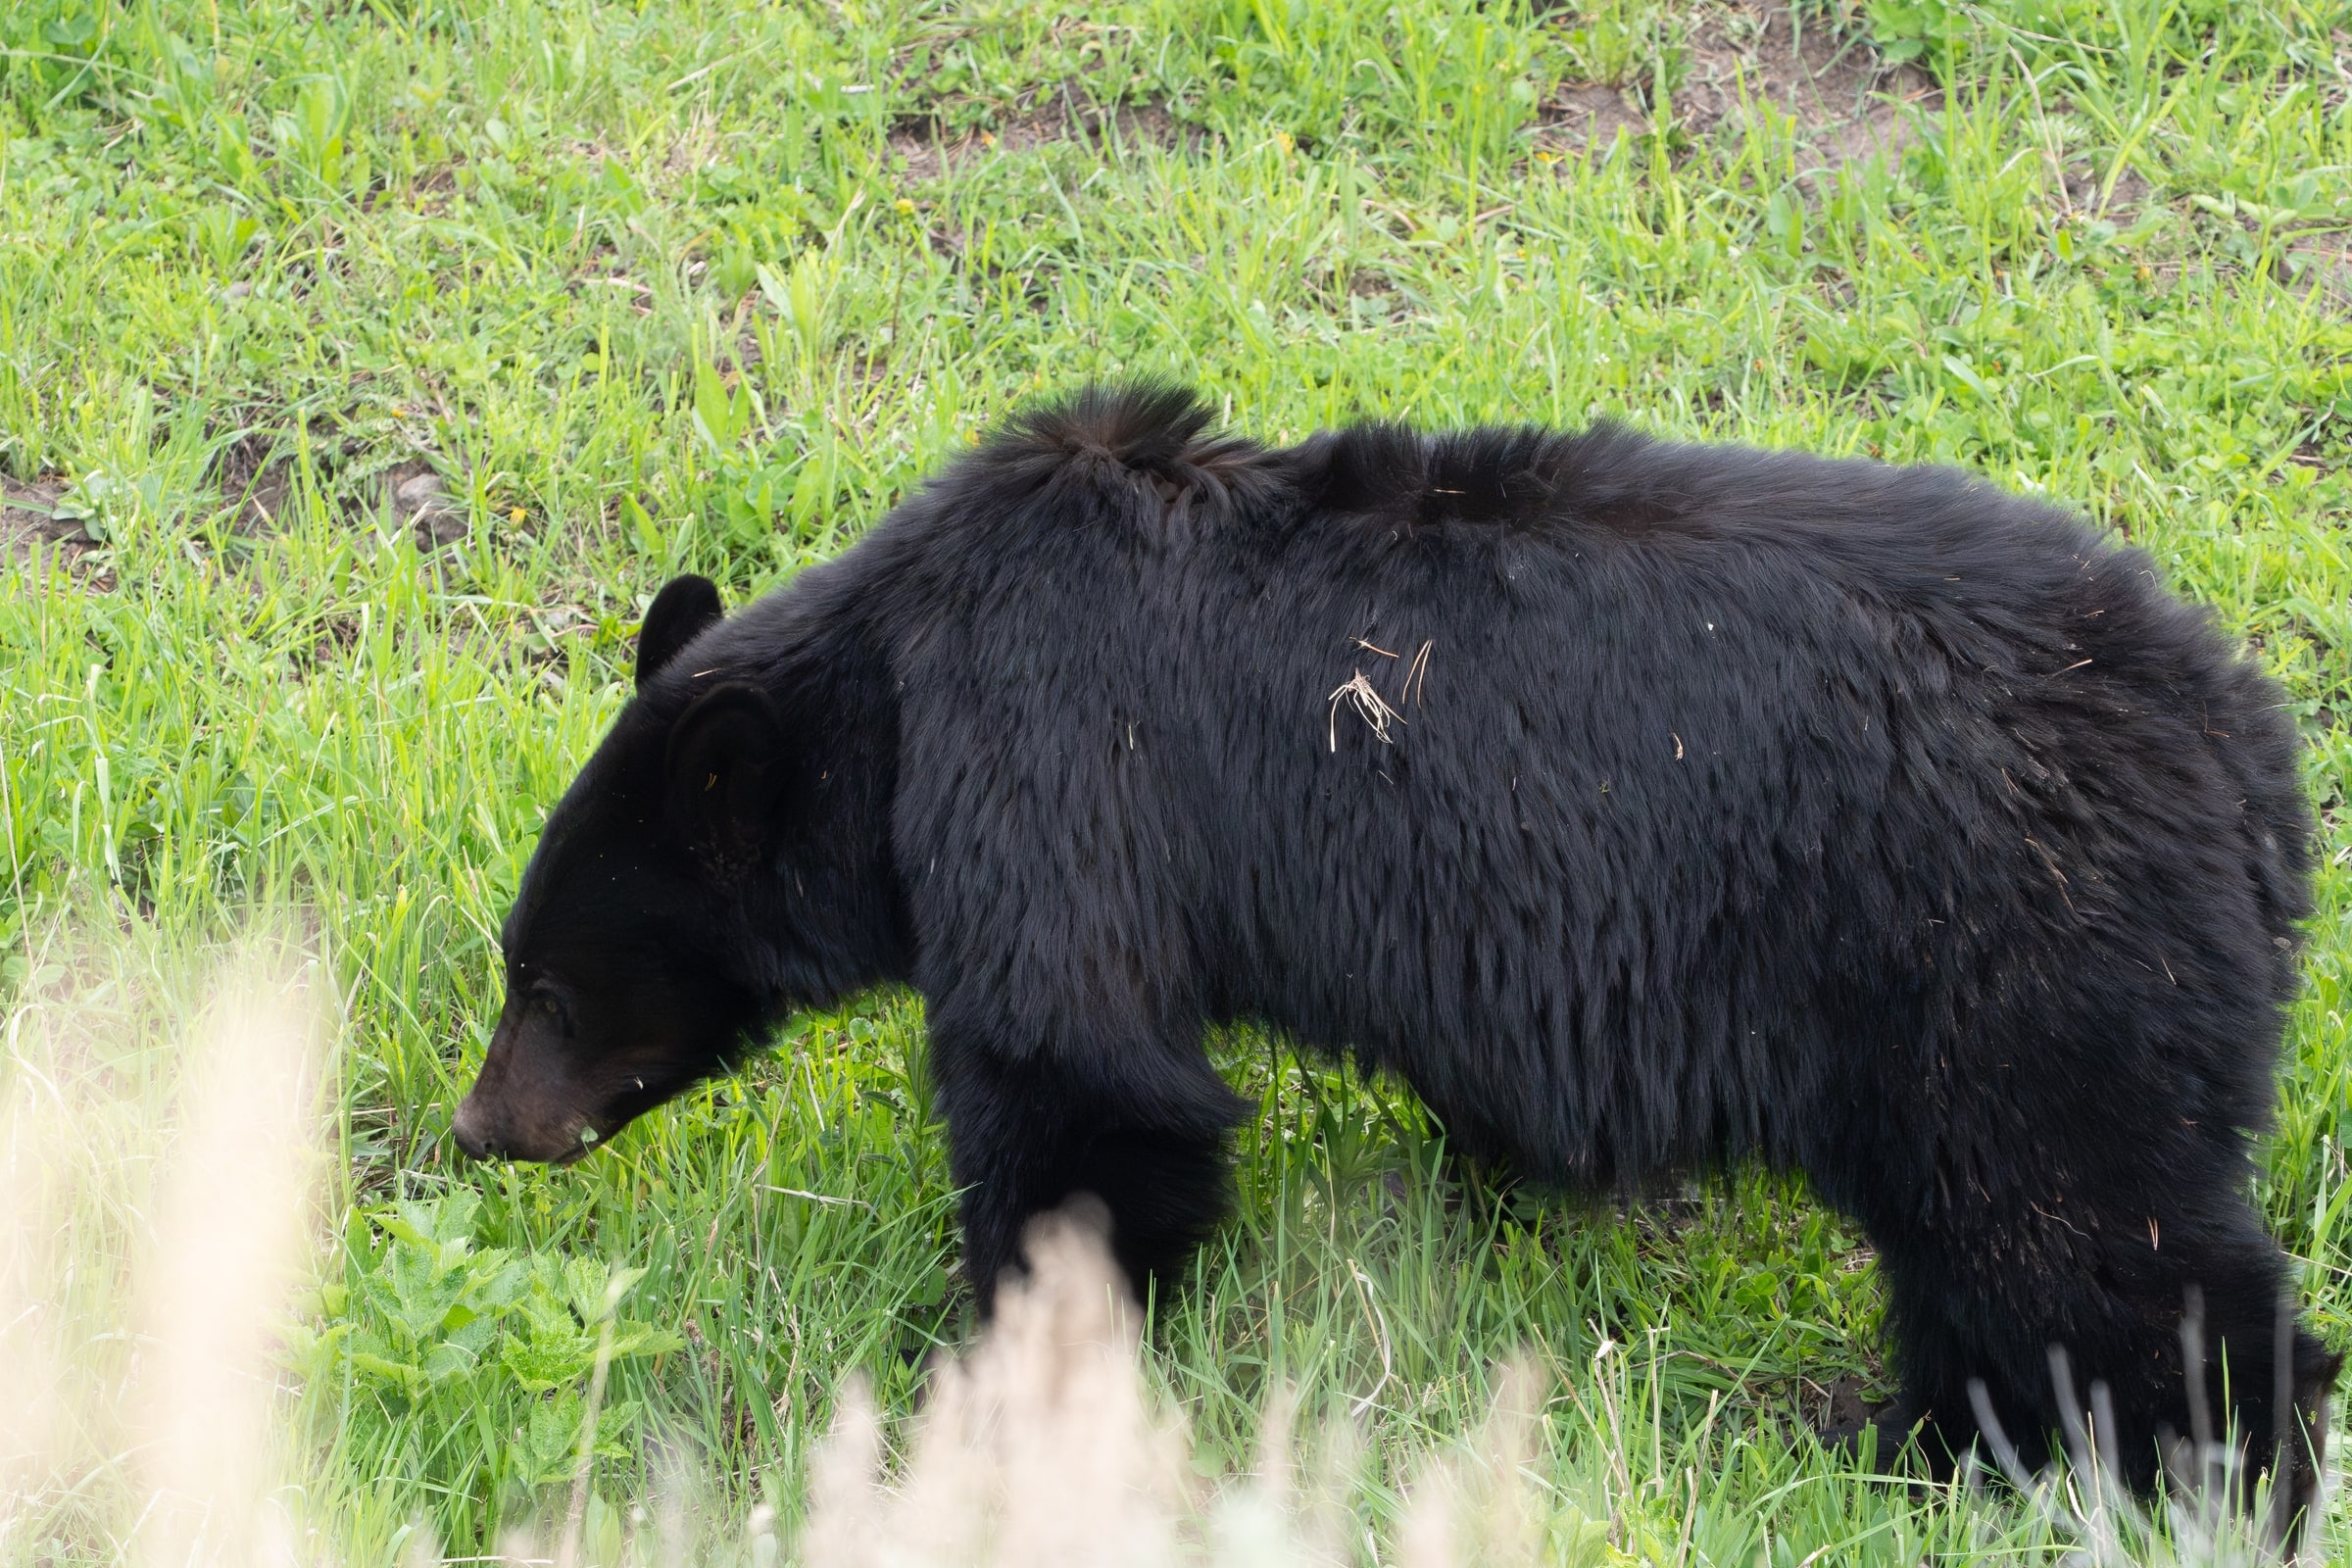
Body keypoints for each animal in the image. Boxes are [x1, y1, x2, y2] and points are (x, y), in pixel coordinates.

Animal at [451, 385, 2338, 1539]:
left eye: (546, 985)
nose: (481, 1129)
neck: (899, 697)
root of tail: (2256, 771)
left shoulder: (1056, 773)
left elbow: (1083, 1090)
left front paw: (999, 1374)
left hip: (2015, 964)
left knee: (2092, 1245)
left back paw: (2182, 1482)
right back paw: (1917, 1445)